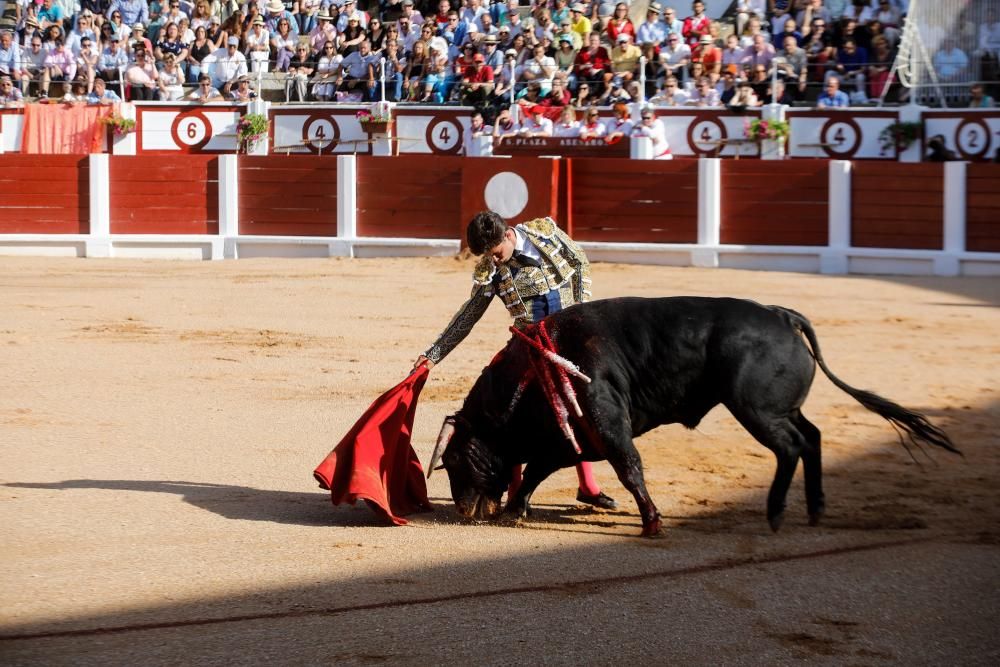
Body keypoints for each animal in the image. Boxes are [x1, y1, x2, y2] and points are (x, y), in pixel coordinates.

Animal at [430, 298, 960, 536]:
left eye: (454, 462)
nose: (462, 511)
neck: (530, 375)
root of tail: (781, 314)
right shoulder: (570, 436)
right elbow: (539, 469)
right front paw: (516, 509)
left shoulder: (606, 424)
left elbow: (629, 469)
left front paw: (652, 523)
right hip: (779, 408)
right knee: (811, 437)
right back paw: (814, 508)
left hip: (755, 409)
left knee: (791, 445)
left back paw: (775, 513)